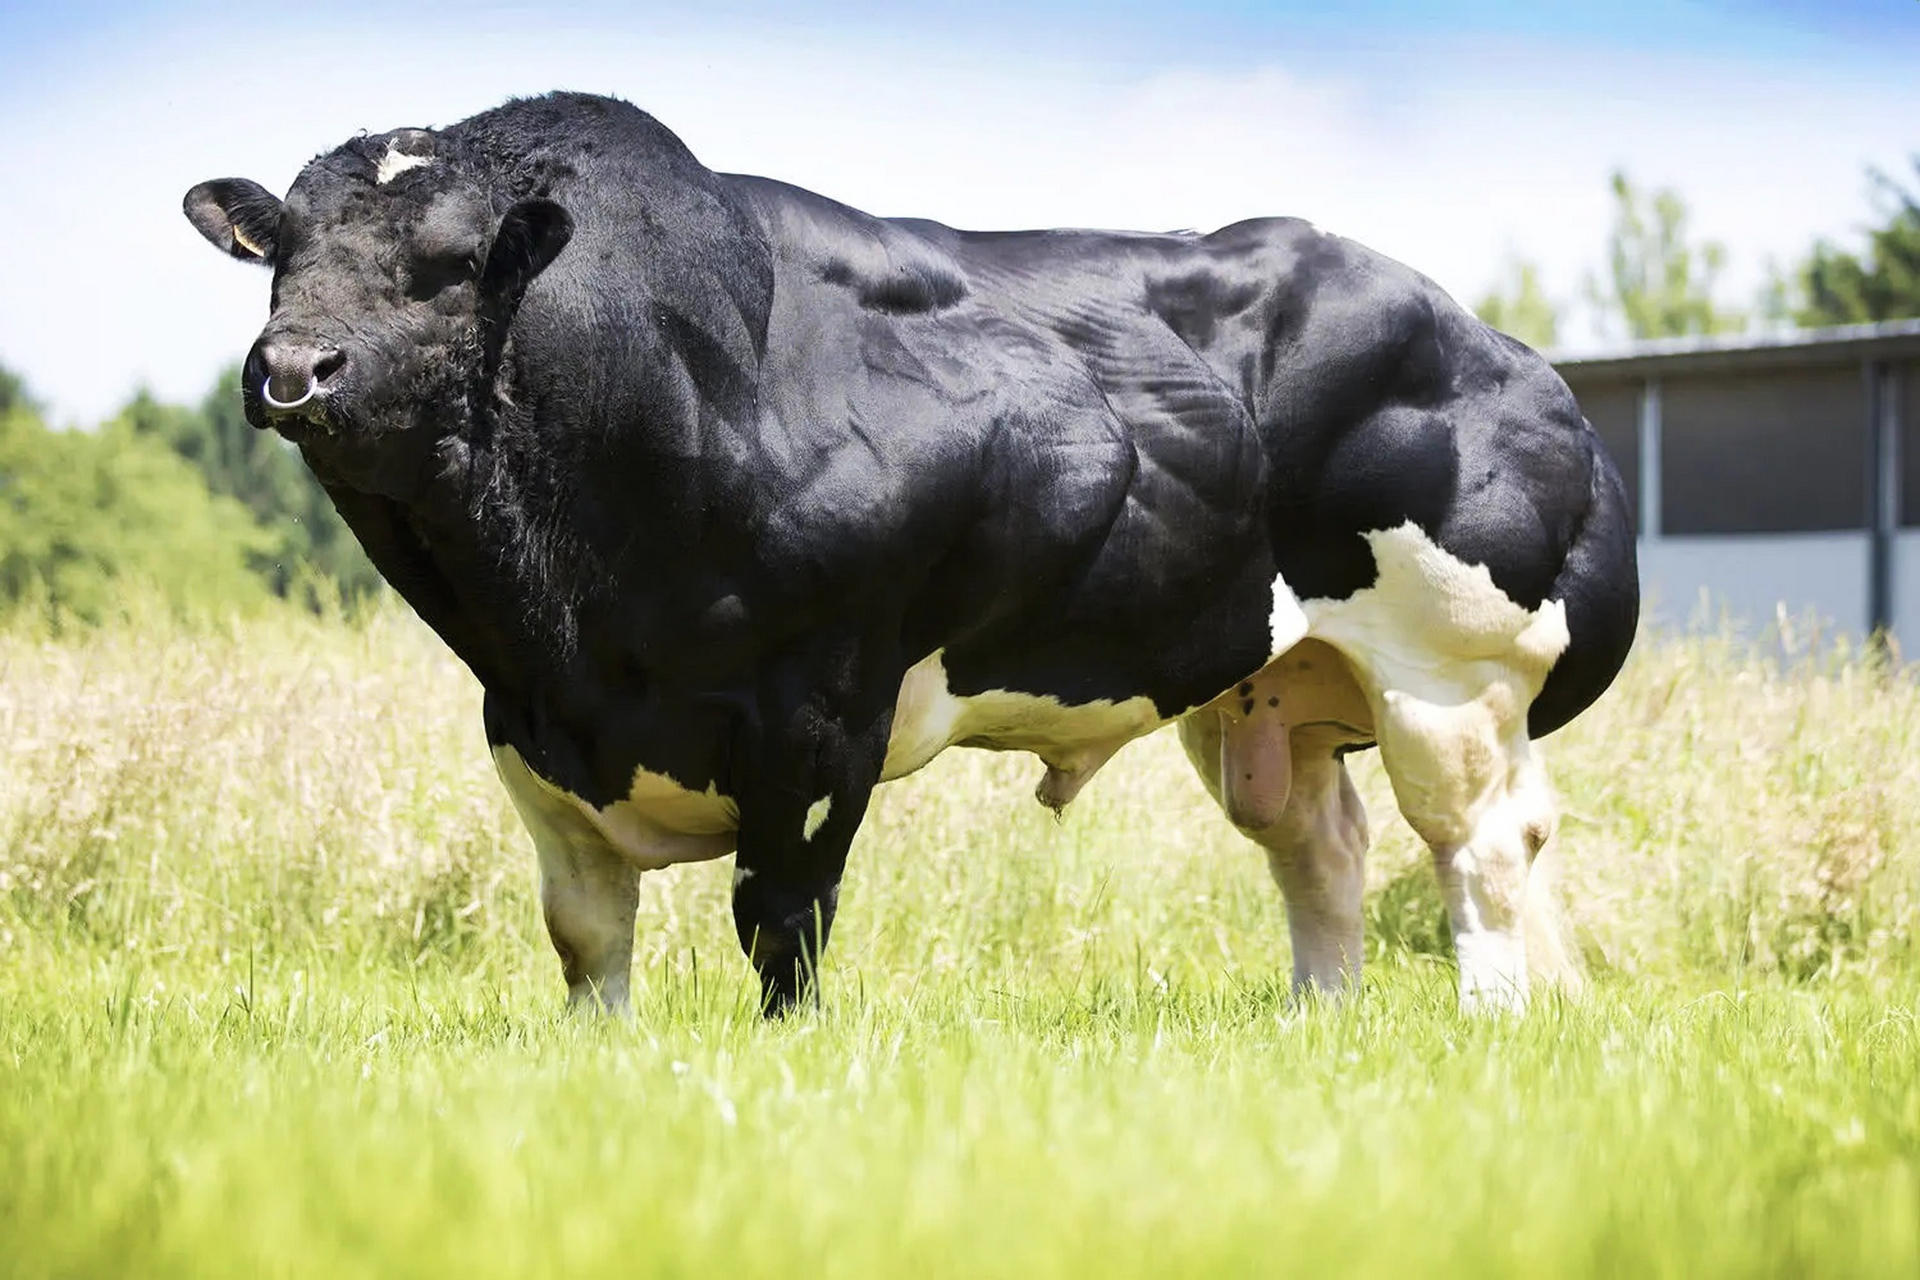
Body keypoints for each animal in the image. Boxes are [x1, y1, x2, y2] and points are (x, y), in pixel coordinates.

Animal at [187, 90, 1635, 1013]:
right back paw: (1315, 1021)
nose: (291, 369)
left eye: (447, 261)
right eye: (281, 255)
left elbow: (781, 919)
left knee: (1479, 844)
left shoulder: (820, 708)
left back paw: (1490, 1016)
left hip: (1452, 676)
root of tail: (1499, 349)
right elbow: (587, 937)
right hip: (1258, 684)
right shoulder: (527, 729)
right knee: (1322, 847)